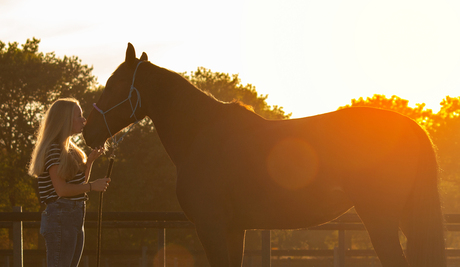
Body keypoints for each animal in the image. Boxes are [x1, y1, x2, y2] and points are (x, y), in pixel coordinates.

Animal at [82, 44, 446, 267]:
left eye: (114, 85)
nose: (88, 132)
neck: (202, 135)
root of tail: (410, 126)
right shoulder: (234, 229)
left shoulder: (211, 227)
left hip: (380, 220)